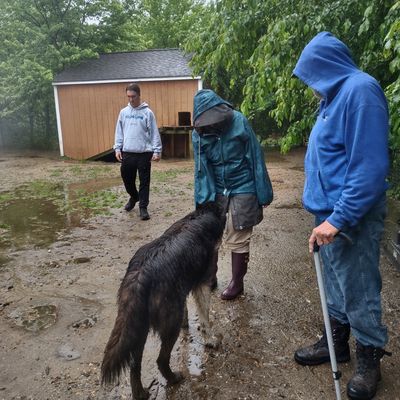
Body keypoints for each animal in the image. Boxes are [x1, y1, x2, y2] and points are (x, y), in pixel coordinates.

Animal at [101, 202, 226, 399]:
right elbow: (205, 318)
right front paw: (210, 340)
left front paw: (187, 325)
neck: (203, 213)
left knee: (134, 366)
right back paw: (174, 378)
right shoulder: (202, 283)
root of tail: (140, 276)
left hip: (138, 327)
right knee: (160, 359)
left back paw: (141, 393)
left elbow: (188, 311)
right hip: (169, 323)